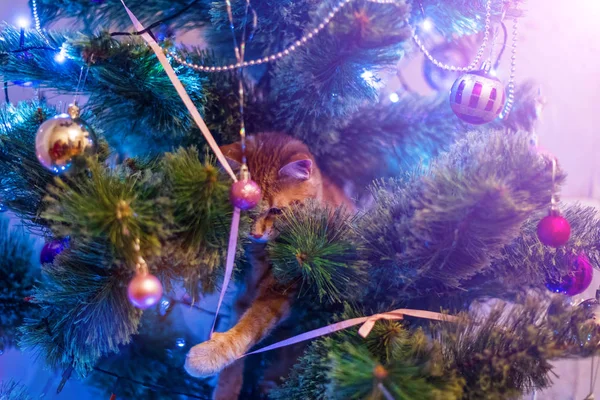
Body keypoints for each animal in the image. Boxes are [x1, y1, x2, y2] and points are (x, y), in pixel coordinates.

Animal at [183, 133, 352, 398]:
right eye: (242, 207)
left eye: (275, 210)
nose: (256, 233)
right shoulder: (244, 295)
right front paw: (226, 389)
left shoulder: (279, 293)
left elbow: (249, 328)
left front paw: (207, 356)